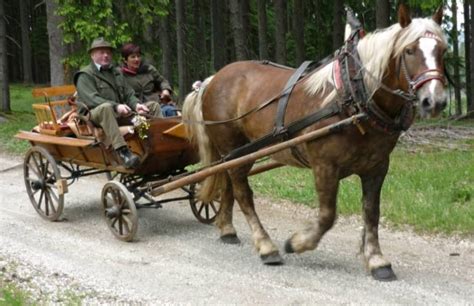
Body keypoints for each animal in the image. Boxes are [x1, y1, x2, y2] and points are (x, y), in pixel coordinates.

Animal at [181, 5, 448, 282]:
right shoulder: (324, 164)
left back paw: (227, 229)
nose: (435, 101)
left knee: (228, 185)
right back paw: (266, 246)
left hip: (239, 152)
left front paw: (376, 259)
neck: (354, 97)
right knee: (243, 193)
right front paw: (297, 243)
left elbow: (372, 212)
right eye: (409, 50)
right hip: (233, 148)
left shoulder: (377, 167)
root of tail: (211, 79)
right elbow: (328, 215)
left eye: (443, 51)